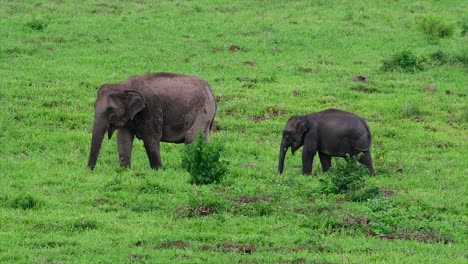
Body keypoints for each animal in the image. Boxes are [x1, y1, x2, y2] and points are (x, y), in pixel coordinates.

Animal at [88, 72, 218, 170]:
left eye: (111, 110)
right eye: (94, 106)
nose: (89, 170)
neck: (123, 86)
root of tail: (211, 91)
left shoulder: (151, 108)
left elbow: (151, 138)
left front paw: (157, 170)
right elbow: (123, 139)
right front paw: (124, 170)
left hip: (204, 110)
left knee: (191, 137)